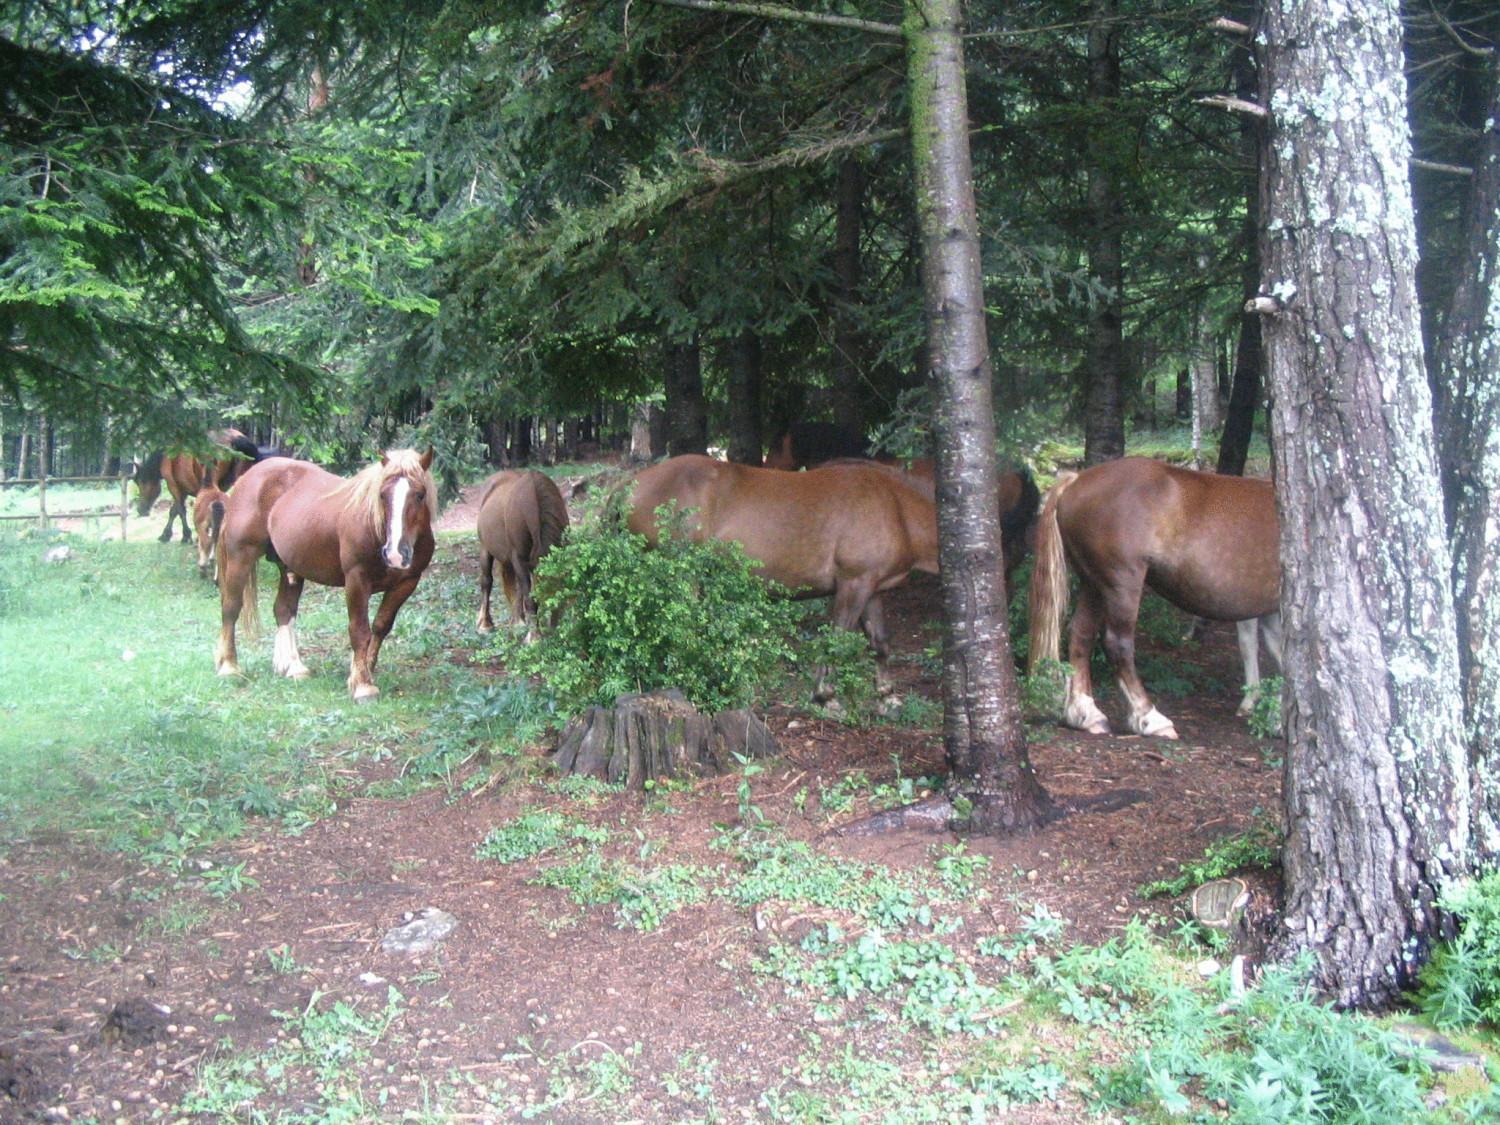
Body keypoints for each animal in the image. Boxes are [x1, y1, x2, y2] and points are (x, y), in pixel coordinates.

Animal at [217, 453, 438, 705]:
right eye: (382, 494)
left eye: (420, 494)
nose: (395, 554)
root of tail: (247, 477)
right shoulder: (356, 580)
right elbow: (359, 631)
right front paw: (363, 687)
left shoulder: (407, 582)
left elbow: (380, 626)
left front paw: (361, 674)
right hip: (240, 557)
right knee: (231, 608)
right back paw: (229, 667)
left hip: (289, 568)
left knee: (283, 610)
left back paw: (293, 667)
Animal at [477, 468, 570, 642]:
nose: (554, 630)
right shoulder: (520, 559)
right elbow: (530, 599)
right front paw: (534, 638)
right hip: (485, 548)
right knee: (486, 582)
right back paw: (485, 625)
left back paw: (518, 622)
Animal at [624, 453, 936, 702]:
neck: (895, 506)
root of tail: (629, 486)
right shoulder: (853, 583)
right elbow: (835, 640)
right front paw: (825, 695)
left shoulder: (872, 588)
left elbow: (879, 642)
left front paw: (887, 696)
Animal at [1026, 459, 1284, 741]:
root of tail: (1076, 480)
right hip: (1121, 583)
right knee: (1118, 644)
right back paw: (1150, 718)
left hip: (1093, 583)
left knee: (1081, 635)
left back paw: (1086, 714)